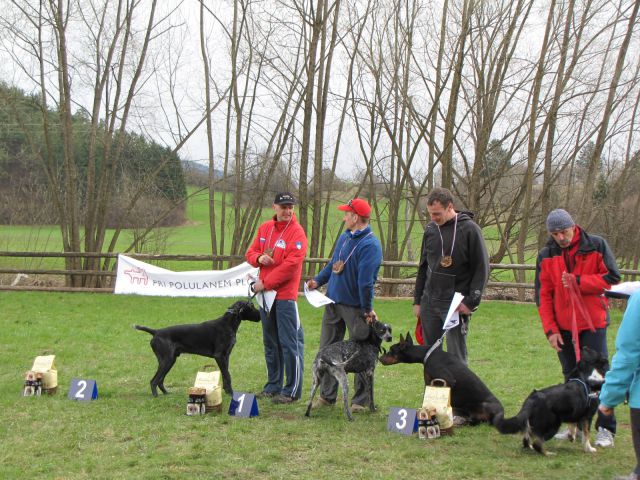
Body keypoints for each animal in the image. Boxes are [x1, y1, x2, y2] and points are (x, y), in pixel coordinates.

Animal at [134, 300, 262, 398]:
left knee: (160, 381)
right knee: (154, 381)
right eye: (251, 306)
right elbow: (227, 375)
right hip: (166, 360)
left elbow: (226, 375)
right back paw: (156, 396)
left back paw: (166, 393)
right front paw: (231, 393)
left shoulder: (226, 357)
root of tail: (156, 332)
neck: (228, 323)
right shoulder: (219, 356)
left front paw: (227, 391)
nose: (261, 315)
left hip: (170, 360)